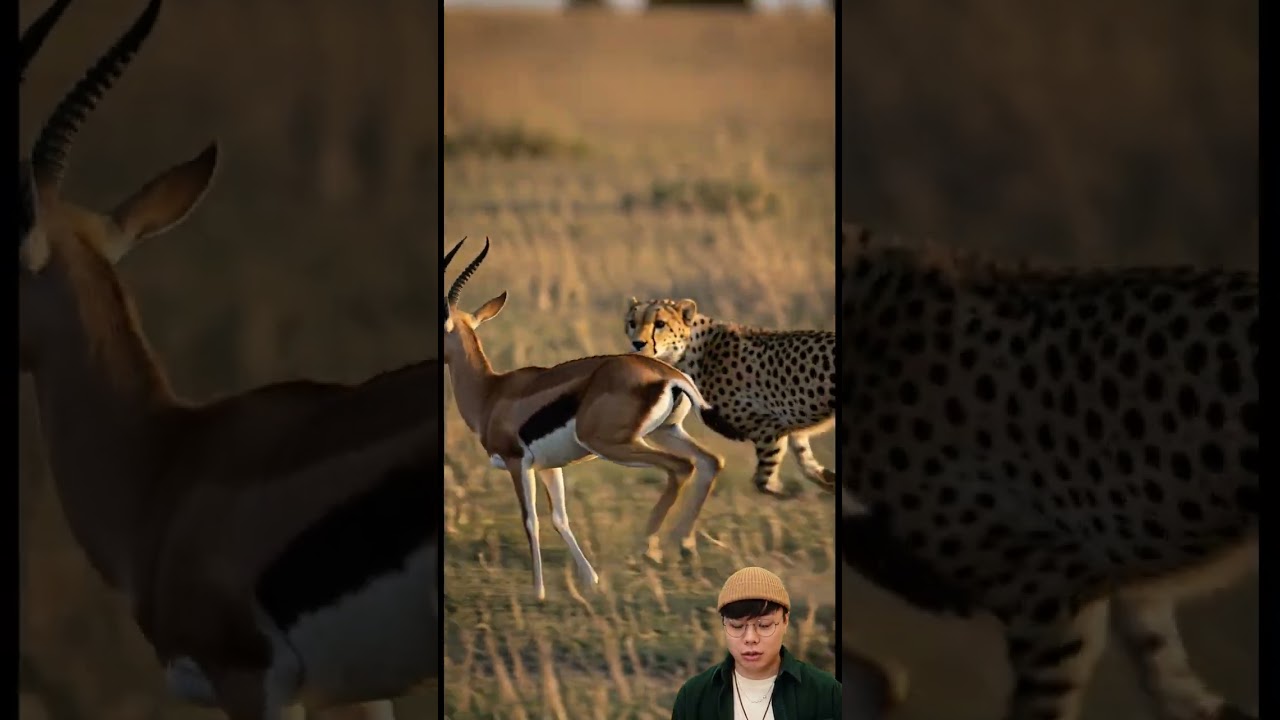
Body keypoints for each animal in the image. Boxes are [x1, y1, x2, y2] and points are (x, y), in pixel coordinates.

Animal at [442, 236, 726, 599]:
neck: (490, 393)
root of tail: (667, 373)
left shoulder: (517, 462)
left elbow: (531, 520)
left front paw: (538, 591)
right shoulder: (548, 467)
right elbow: (559, 518)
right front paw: (591, 579)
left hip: (615, 444)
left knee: (681, 467)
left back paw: (648, 548)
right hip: (665, 432)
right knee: (709, 462)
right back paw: (679, 546)